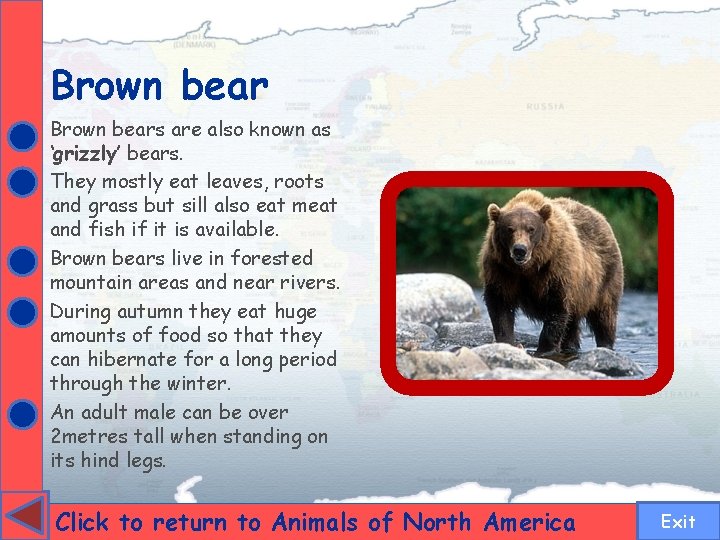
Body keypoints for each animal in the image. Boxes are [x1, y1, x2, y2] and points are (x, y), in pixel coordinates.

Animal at [478, 189, 623, 357]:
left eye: (531, 229)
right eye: (509, 229)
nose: (520, 250)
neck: (528, 268)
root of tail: (598, 214)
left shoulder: (555, 266)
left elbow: (557, 305)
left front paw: (544, 350)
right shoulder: (501, 269)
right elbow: (500, 304)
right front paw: (507, 342)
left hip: (604, 276)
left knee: (604, 315)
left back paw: (605, 345)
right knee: (572, 324)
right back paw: (571, 346)